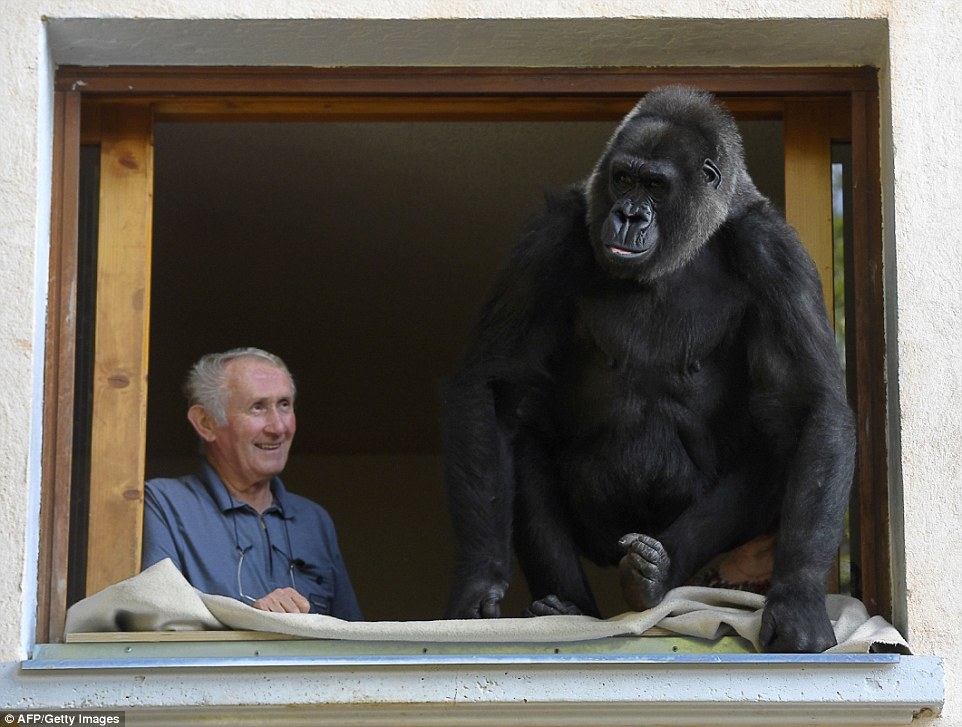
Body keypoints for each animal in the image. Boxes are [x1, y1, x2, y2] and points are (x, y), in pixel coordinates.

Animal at [438, 86, 852, 656]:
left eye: (655, 185)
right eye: (623, 178)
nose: (629, 216)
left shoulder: (775, 253)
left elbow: (810, 404)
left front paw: (798, 598)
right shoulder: (550, 236)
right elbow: (494, 387)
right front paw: (480, 578)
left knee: (776, 449)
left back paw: (654, 577)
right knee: (520, 440)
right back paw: (567, 608)